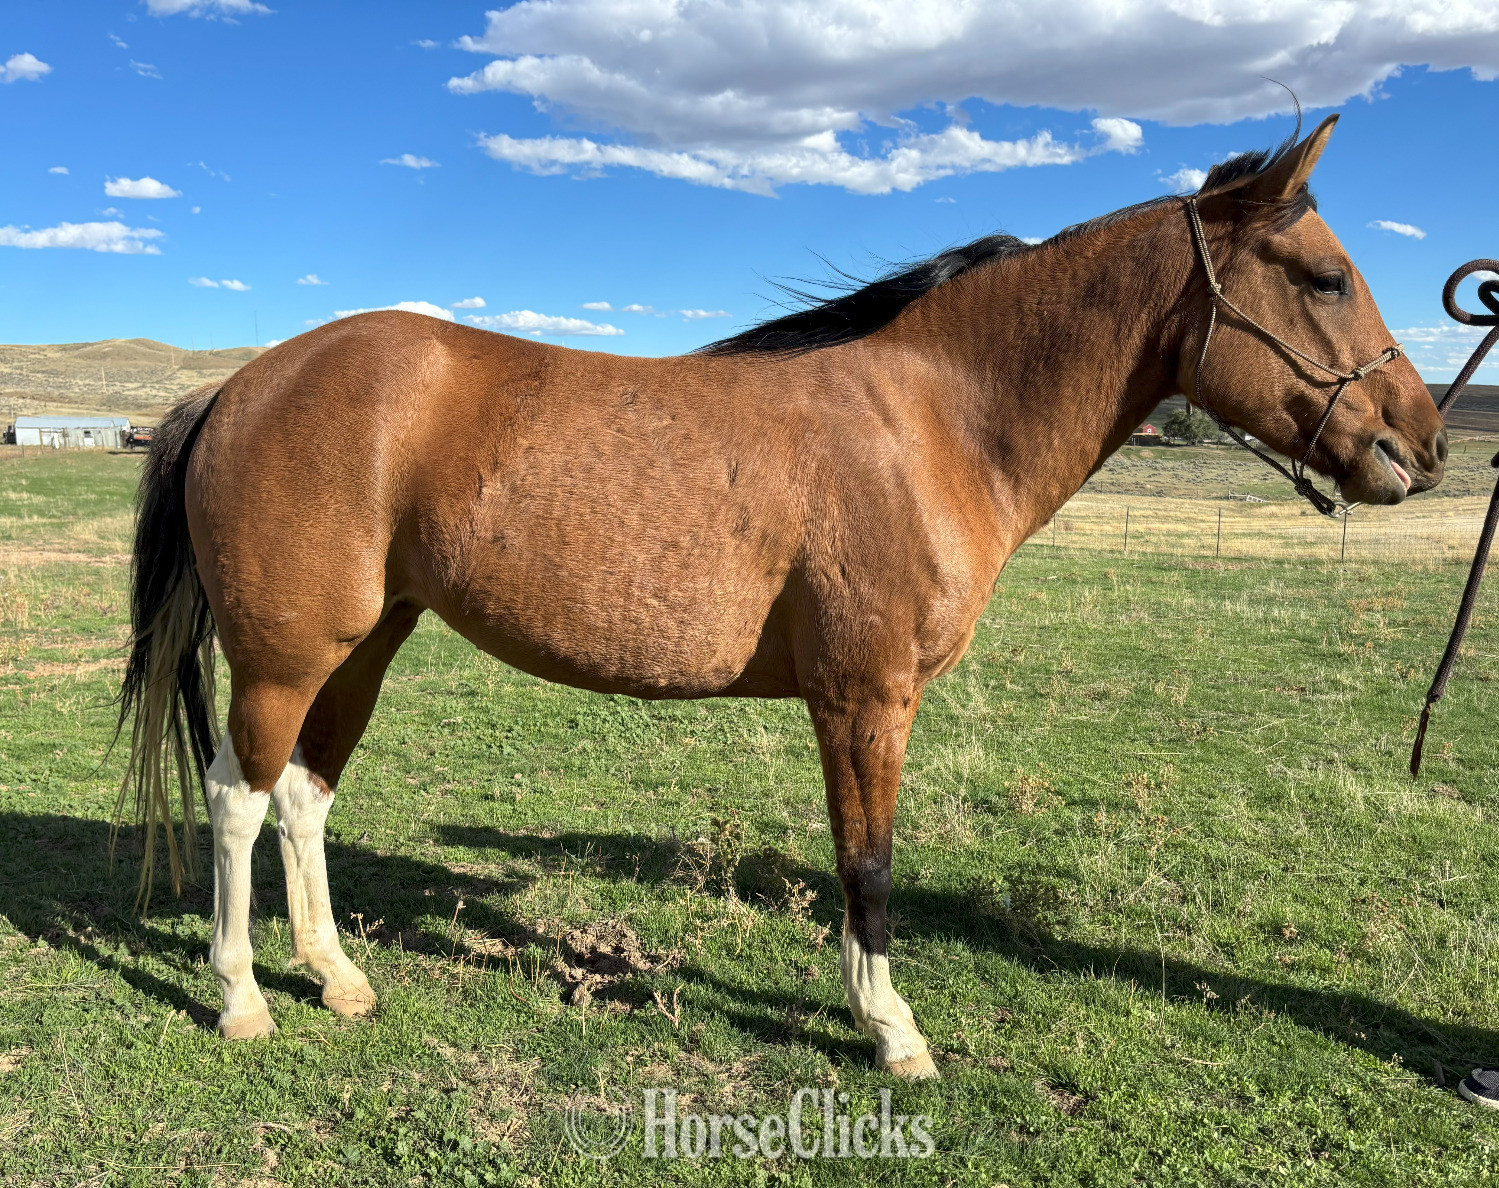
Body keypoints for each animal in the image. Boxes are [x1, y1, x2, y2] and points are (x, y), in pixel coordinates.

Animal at [118, 114, 1445, 1079]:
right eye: (1325, 279)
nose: (1422, 442)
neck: (932, 423)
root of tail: (238, 386)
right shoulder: (864, 703)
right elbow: (869, 869)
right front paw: (891, 1031)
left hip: (364, 646)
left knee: (303, 797)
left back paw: (336, 979)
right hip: (289, 654)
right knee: (240, 800)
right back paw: (241, 999)